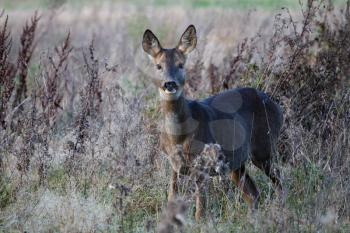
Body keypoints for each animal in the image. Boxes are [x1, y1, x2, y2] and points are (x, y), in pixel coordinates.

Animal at [142, 24, 284, 221]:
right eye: (158, 66)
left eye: (181, 64)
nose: (169, 84)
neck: (178, 136)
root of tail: (276, 106)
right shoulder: (174, 166)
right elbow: (171, 200)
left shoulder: (202, 165)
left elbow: (200, 210)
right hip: (236, 163)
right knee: (253, 193)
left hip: (264, 147)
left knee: (279, 182)